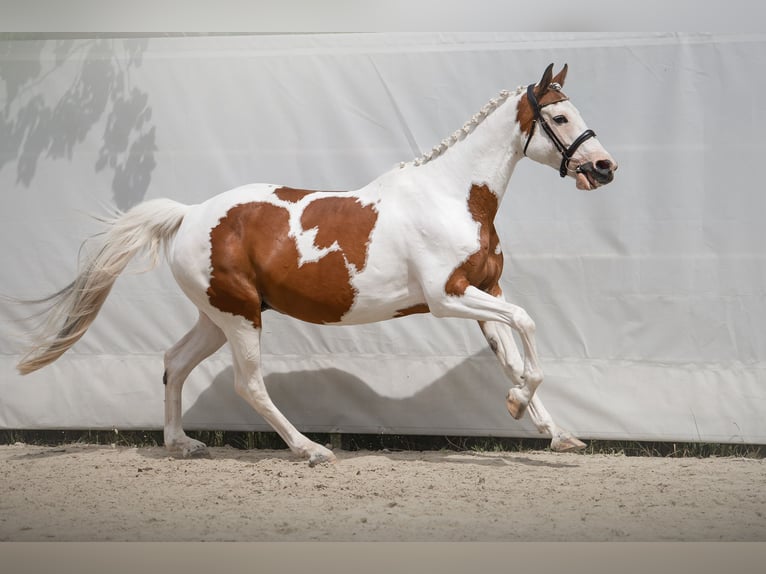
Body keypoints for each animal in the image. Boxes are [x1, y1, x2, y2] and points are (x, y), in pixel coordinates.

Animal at [16, 63, 616, 468]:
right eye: (559, 115)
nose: (604, 167)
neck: (453, 197)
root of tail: (188, 215)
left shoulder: (486, 292)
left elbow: (514, 357)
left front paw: (554, 432)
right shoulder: (448, 297)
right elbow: (528, 327)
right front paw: (518, 407)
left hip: (217, 316)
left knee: (174, 362)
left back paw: (182, 444)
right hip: (239, 317)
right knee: (248, 384)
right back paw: (310, 449)